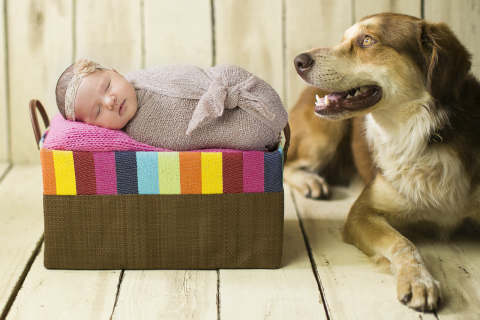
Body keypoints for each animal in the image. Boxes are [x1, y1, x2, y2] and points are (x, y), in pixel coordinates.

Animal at [284, 12, 480, 310]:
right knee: (286, 162)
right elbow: (403, 242)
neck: (423, 133)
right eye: (343, 38)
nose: (298, 61)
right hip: (324, 136)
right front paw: (418, 280)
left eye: (367, 40)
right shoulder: (361, 213)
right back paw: (310, 182)